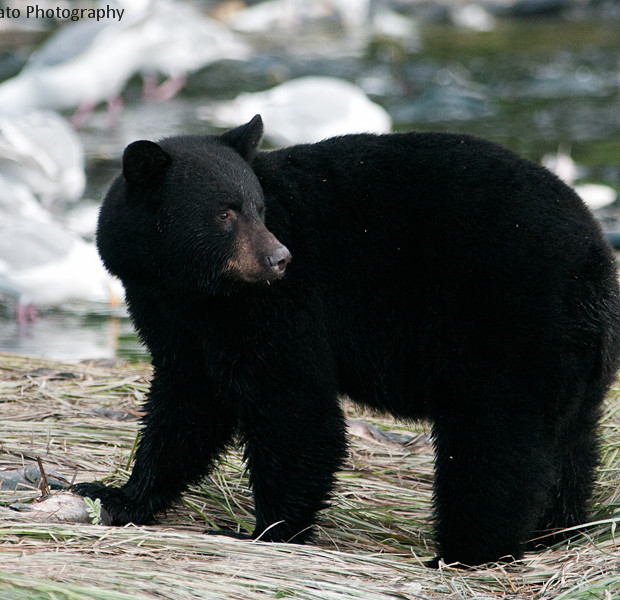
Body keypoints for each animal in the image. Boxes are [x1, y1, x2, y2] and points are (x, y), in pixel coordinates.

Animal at [75, 113, 620, 568]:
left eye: (260, 208)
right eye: (225, 213)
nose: (279, 258)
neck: (194, 291)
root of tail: (594, 257)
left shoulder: (280, 306)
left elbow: (292, 406)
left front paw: (265, 530)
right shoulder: (173, 318)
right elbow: (187, 404)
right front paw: (118, 495)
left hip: (504, 326)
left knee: (496, 445)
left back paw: (466, 553)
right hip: (573, 354)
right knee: (572, 442)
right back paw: (555, 532)